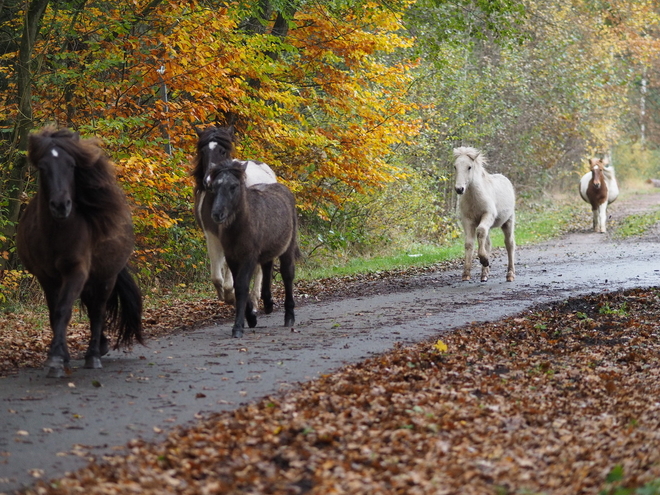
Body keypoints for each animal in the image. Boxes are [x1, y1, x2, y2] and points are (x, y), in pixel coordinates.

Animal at [16, 126, 143, 378]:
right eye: (43, 167)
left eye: (72, 165)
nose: (60, 205)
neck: (56, 233)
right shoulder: (47, 277)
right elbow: (54, 313)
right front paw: (61, 356)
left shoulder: (76, 271)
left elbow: (65, 310)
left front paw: (56, 358)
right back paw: (100, 346)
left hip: (105, 278)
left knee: (98, 311)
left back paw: (93, 355)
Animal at [205, 161, 300, 340]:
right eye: (214, 186)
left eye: (233, 186)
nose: (217, 214)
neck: (239, 228)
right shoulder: (232, 257)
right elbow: (237, 285)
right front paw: (250, 318)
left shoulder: (249, 256)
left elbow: (242, 285)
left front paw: (238, 327)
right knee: (267, 268)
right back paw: (268, 303)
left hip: (288, 247)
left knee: (287, 274)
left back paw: (289, 316)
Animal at [454, 145, 516, 280]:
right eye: (455, 166)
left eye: (469, 167)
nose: (459, 189)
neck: (474, 198)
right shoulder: (468, 220)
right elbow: (469, 243)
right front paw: (466, 273)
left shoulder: (488, 215)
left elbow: (481, 231)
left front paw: (484, 260)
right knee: (487, 242)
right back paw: (484, 274)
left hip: (508, 221)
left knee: (509, 244)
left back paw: (510, 274)